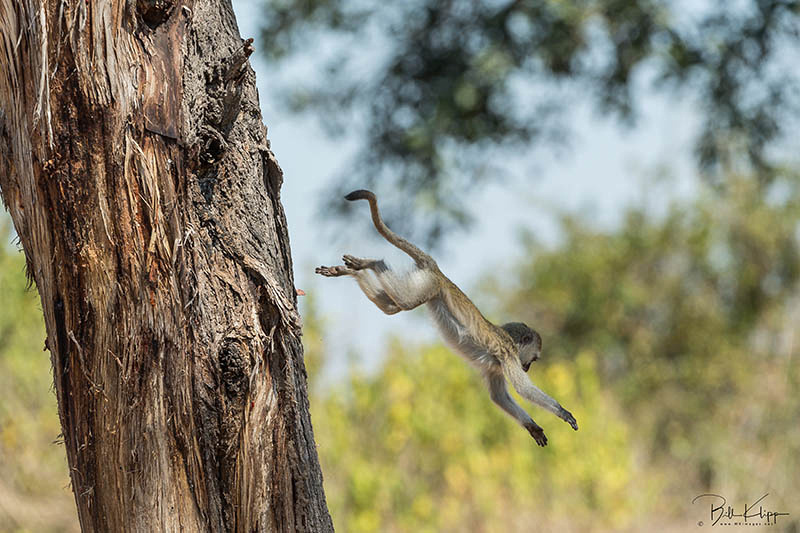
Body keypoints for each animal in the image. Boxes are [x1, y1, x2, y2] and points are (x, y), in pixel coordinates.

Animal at [316, 189, 580, 442]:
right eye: (533, 359)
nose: (527, 368)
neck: (510, 340)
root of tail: (438, 271)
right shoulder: (508, 355)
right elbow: (523, 390)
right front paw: (562, 411)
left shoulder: (496, 366)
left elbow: (499, 397)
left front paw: (533, 427)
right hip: (429, 285)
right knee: (404, 301)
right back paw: (373, 263)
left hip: (425, 284)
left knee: (393, 306)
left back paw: (355, 270)